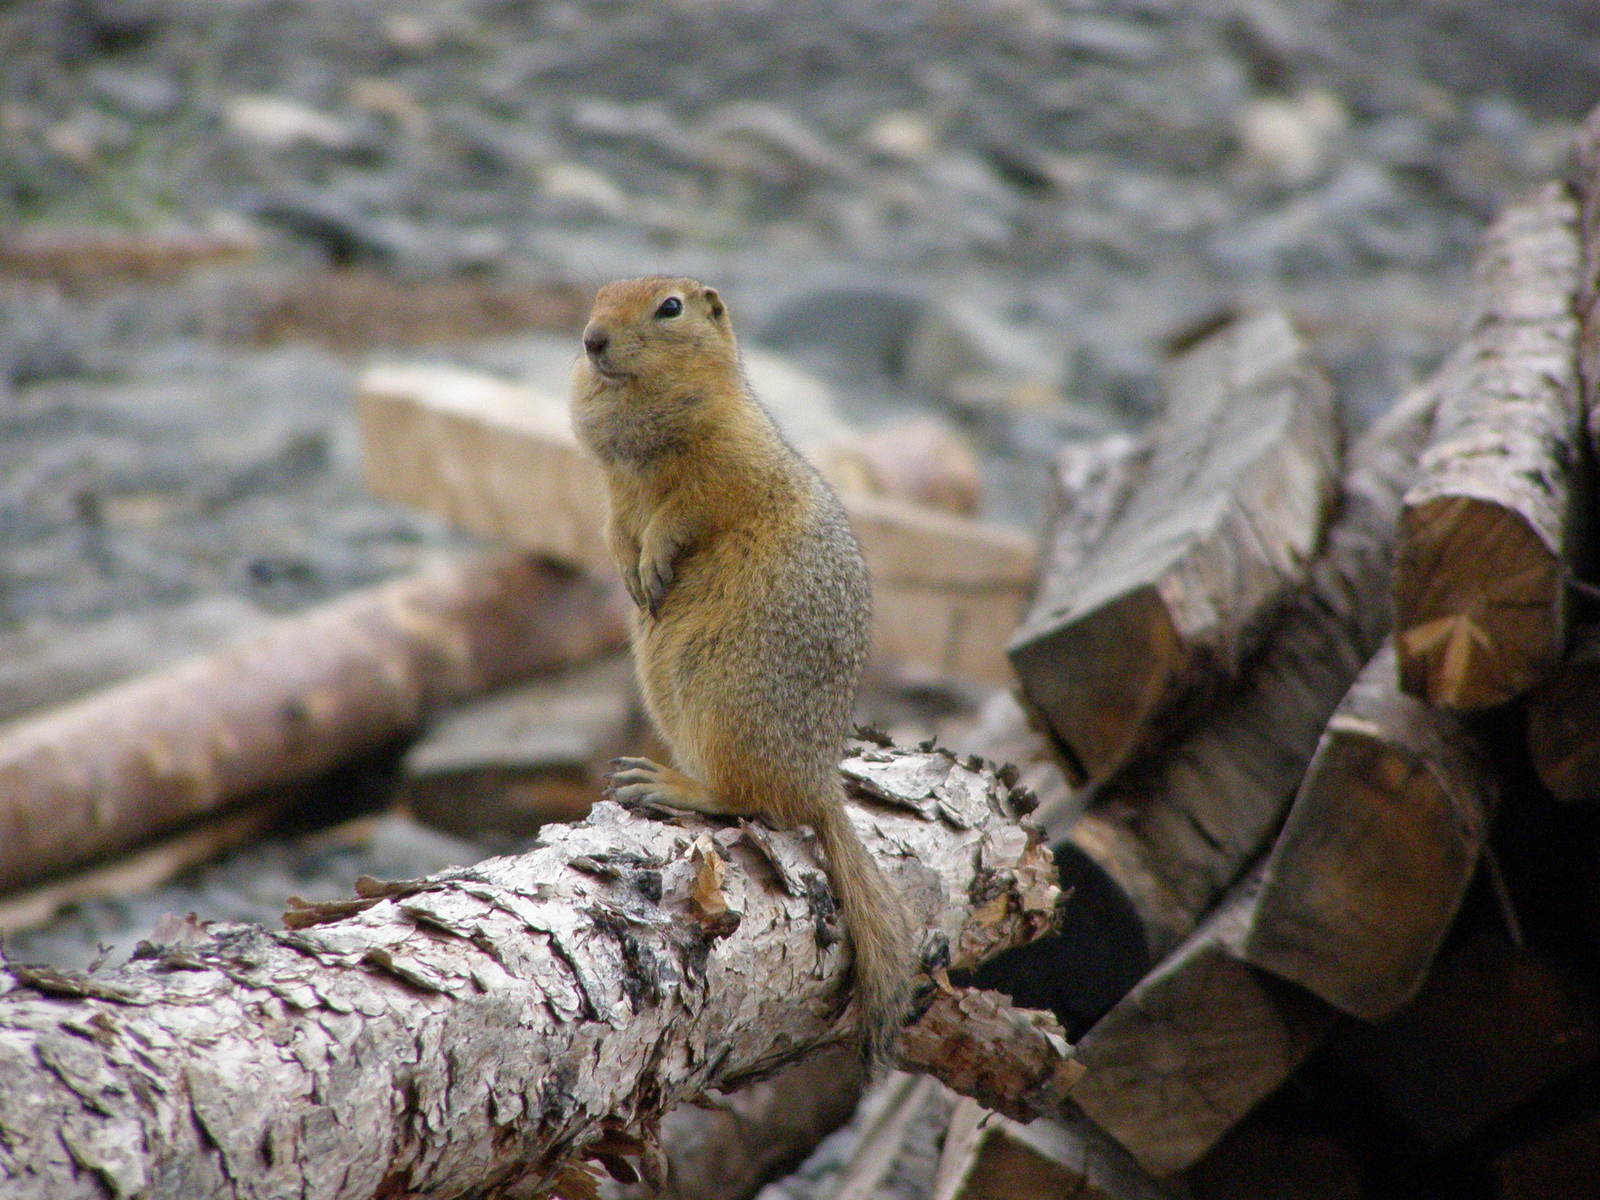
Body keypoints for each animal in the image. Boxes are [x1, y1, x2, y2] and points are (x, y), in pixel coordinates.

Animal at [569, 275, 921, 1062]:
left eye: (669, 307)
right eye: (598, 295)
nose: (592, 341)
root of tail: (821, 784)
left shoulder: (725, 463)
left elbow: (685, 513)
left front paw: (653, 562)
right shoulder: (612, 490)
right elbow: (613, 526)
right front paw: (629, 571)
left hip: (723, 708)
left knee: (749, 800)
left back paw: (662, 781)